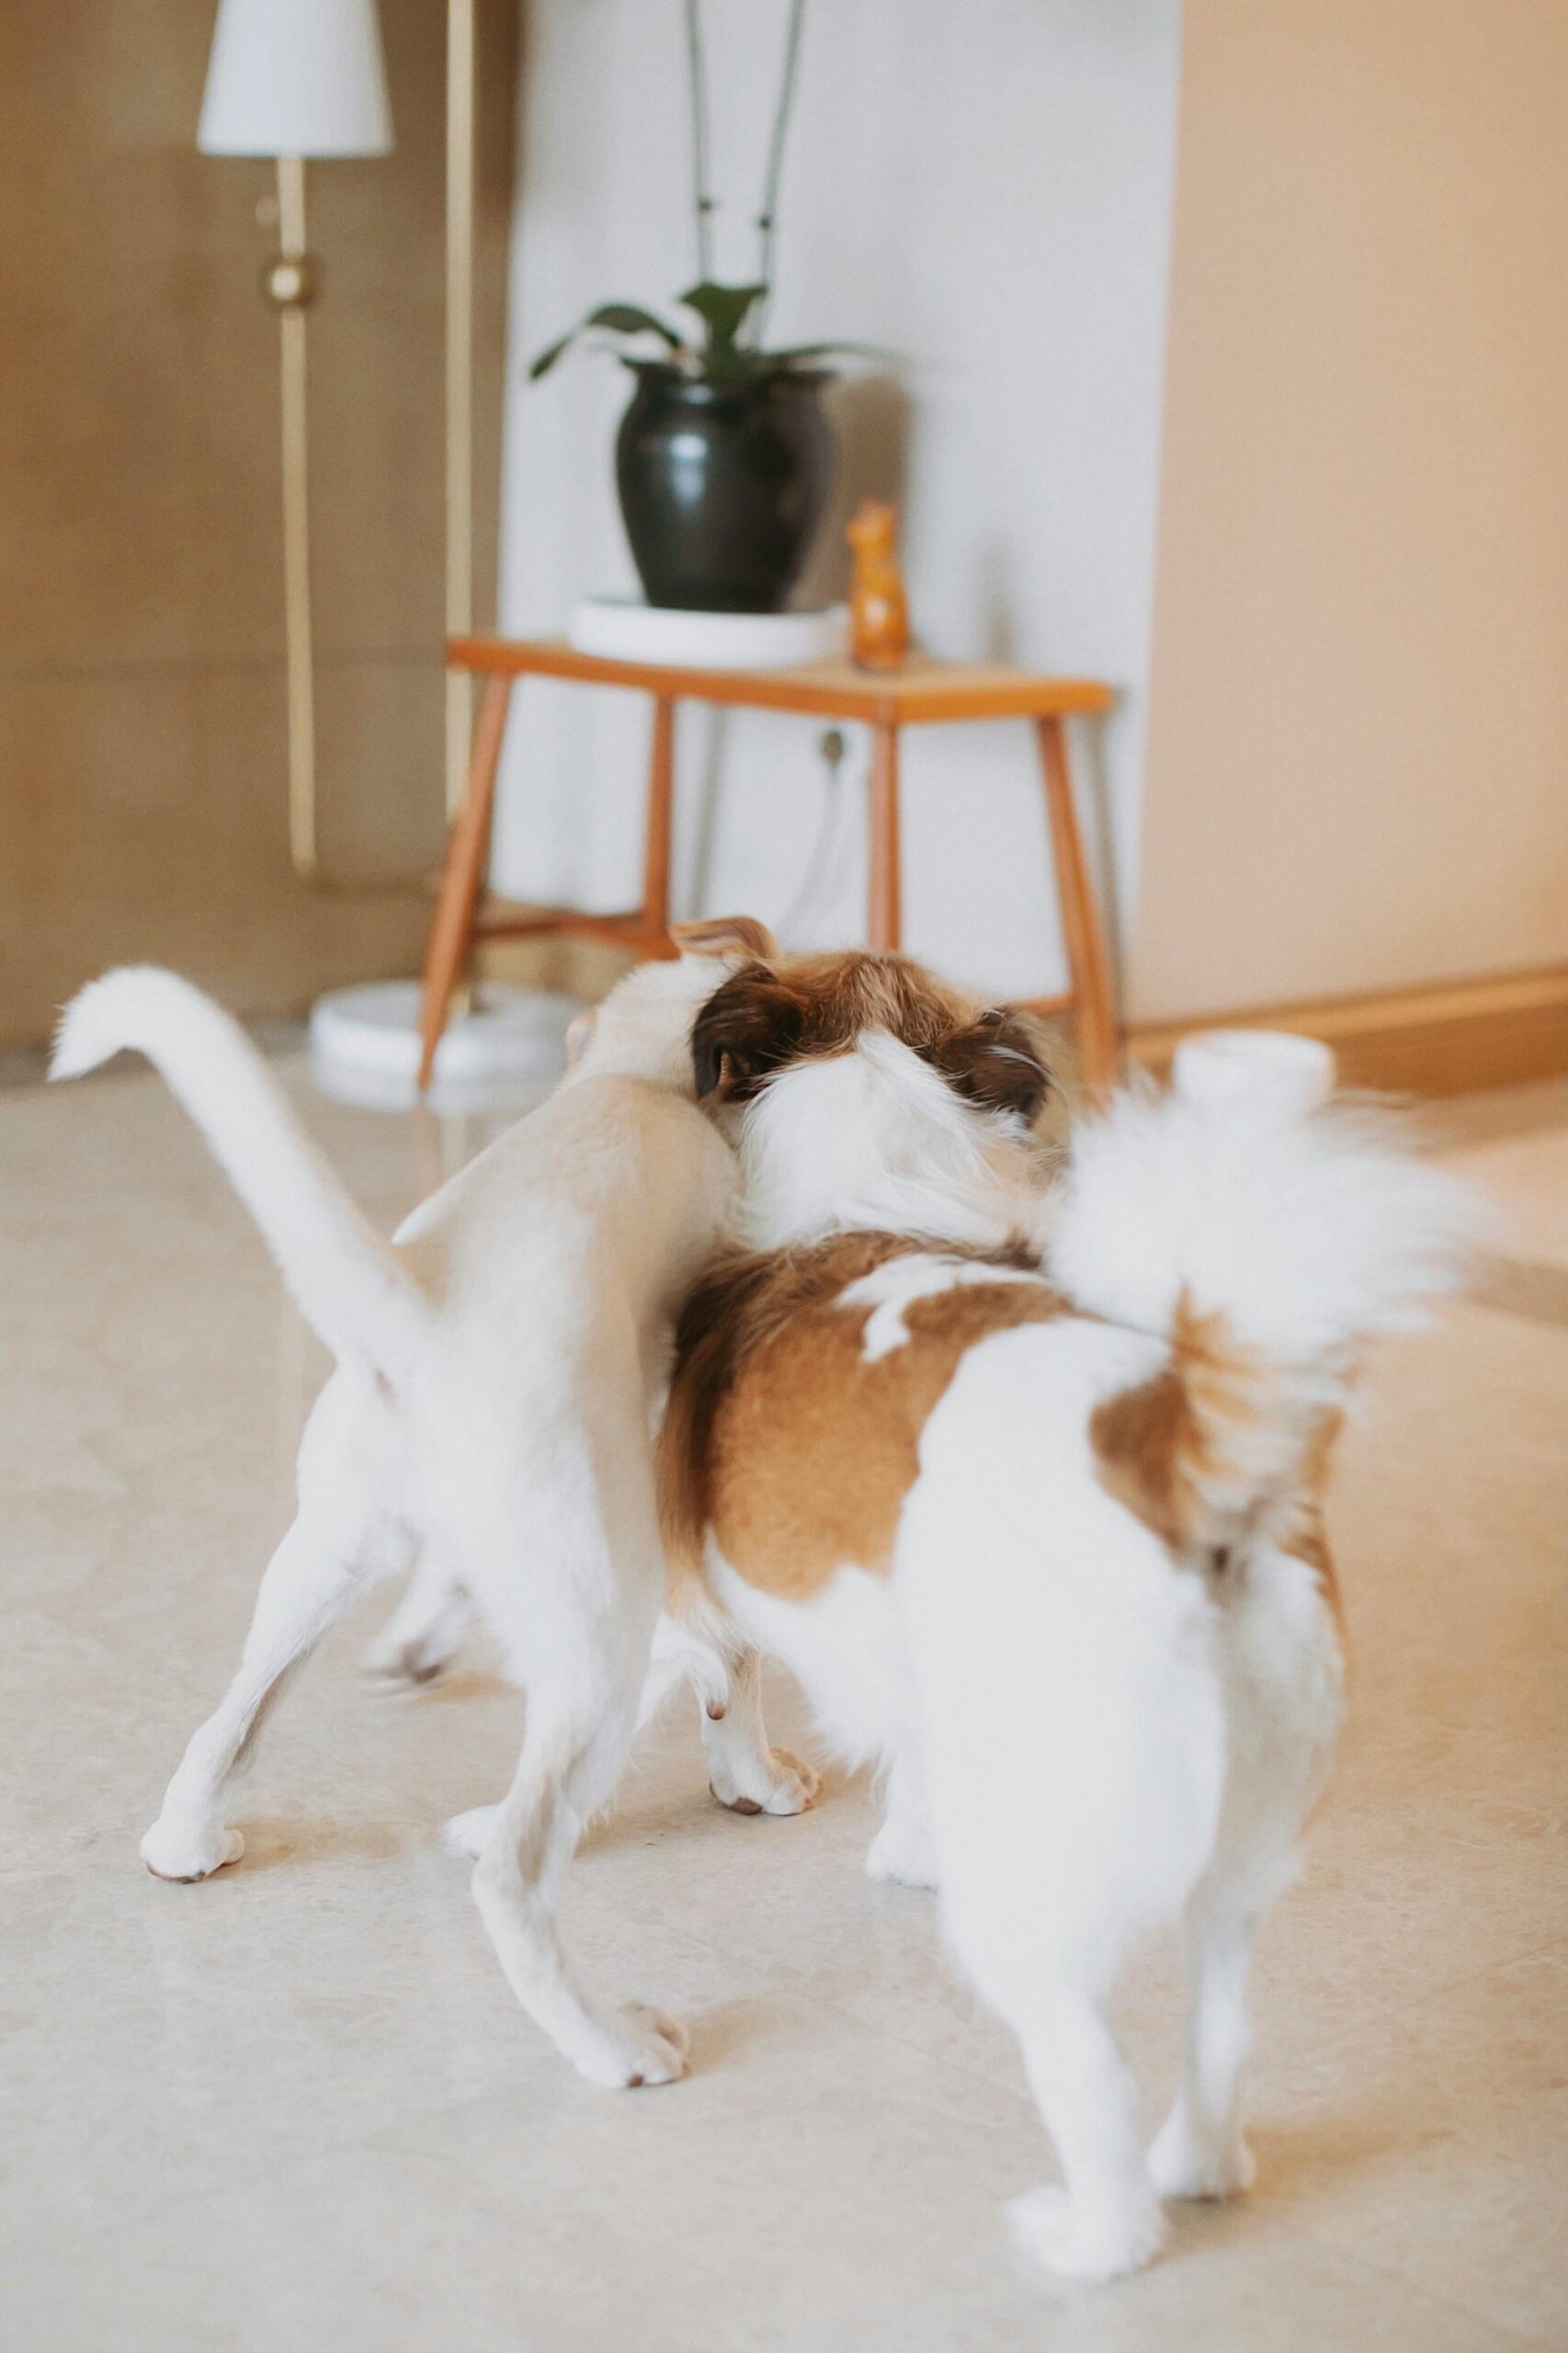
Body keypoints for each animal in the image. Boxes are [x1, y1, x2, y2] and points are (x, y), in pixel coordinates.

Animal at [51, 926, 805, 2089]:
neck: (631, 1075)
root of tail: (424, 1328)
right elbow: (740, 1670)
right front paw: (755, 1776)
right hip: (596, 1634)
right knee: (513, 1867)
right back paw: (615, 2045)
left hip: (313, 1570)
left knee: (226, 1730)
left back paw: (186, 1846)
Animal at [644, 950, 1469, 2278]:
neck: (868, 1192)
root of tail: (1160, 1459)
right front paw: (901, 1845)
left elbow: (735, 1691)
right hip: (1239, 1857)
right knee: (1220, 2036)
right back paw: (1202, 2168)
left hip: (1035, 1884)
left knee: (1092, 2073)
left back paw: (1090, 2238)